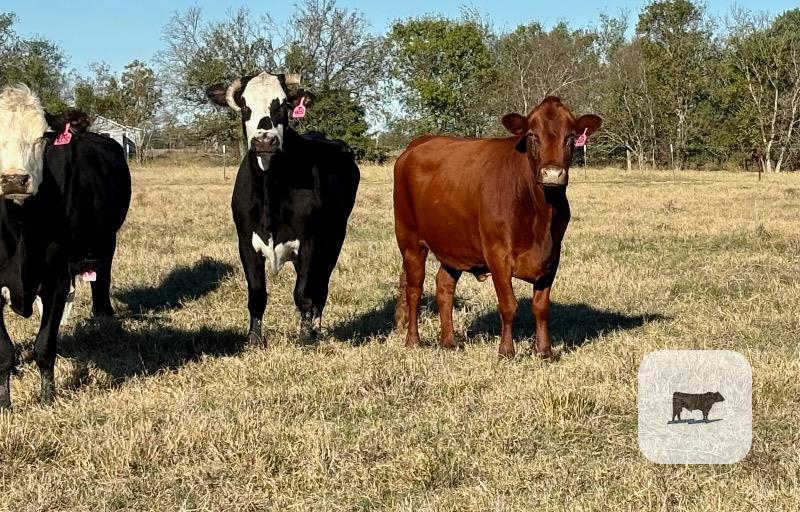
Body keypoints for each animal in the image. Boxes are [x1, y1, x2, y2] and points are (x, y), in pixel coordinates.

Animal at [206, 72, 360, 344]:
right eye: (244, 105)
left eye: (284, 105)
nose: (264, 140)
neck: (270, 191)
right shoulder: (246, 243)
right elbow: (257, 294)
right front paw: (254, 339)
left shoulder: (310, 242)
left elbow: (303, 293)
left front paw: (306, 337)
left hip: (334, 240)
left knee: (321, 286)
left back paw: (315, 328)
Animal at [393, 96, 602, 358]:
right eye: (533, 135)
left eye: (571, 136)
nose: (552, 174)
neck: (541, 212)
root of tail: (417, 143)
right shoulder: (497, 254)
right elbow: (508, 305)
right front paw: (506, 351)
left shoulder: (553, 256)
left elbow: (541, 306)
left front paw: (544, 351)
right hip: (409, 240)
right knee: (414, 289)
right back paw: (413, 341)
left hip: (452, 243)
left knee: (444, 286)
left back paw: (449, 341)